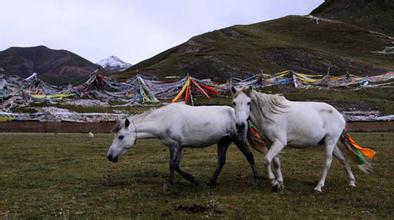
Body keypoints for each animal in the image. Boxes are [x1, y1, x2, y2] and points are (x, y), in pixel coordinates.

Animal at [107, 103, 262, 191]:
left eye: (121, 137)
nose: (110, 156)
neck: (164, 120)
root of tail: (242, 116)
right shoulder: (177, 146)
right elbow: (174, 165)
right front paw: (176, 182)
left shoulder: (175, 145)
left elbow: (173, 165)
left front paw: (183, 181)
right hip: (224, 141)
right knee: (221, 161)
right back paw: (211, 182)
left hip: (238, 139)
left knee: (249, 156)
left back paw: (257, 180)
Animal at [231, 87, 376, 192]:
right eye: (234, 103)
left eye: (248, 103)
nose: (240, 125)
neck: (270, 115)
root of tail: (339, 115)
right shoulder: (271, 143)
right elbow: (276, 162)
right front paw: (279, 183)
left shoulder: (279, 142)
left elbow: (267, 159)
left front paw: (272, 180)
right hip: (331, 143)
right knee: (343, 160)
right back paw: (351, 182)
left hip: (330, 143)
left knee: (327, 162)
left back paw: (319, 186)